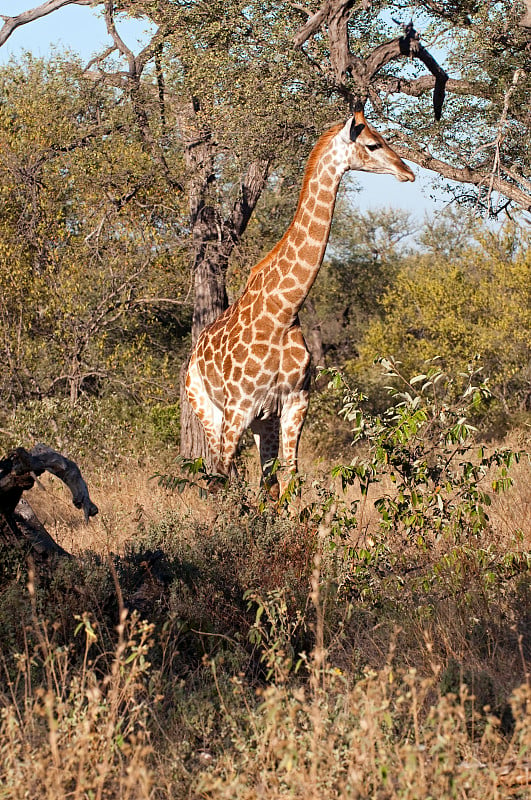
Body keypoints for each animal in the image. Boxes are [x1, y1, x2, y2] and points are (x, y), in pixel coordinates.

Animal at [186, 106, 416, 494]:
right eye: (373, 144)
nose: (408, 172)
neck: (283, 311)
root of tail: (194, 355)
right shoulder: (239, 407)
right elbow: (228, 478)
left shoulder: (295, 402)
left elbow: (290, 477)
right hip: (208, 408)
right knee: (219, 475)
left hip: (261, 421)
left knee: (263, 480)